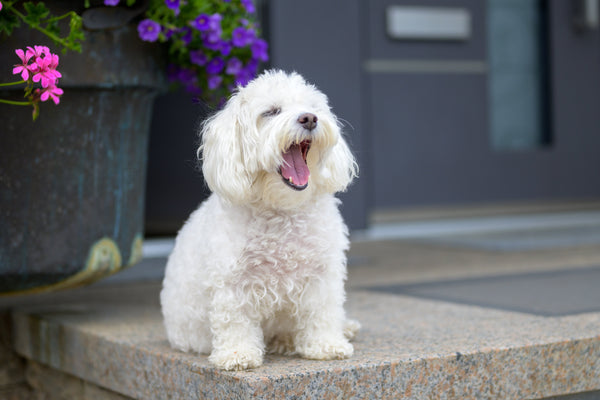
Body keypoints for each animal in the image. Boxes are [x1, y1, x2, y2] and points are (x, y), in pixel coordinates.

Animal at [159, 69, 358, 372]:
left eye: (313, 107)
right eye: (271, 112)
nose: (309, 118)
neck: (281, 209)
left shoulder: (322, 275)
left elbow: (322, 311)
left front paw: (327, 345)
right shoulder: (231, 281)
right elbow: (235, 320)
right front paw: (238, 354)